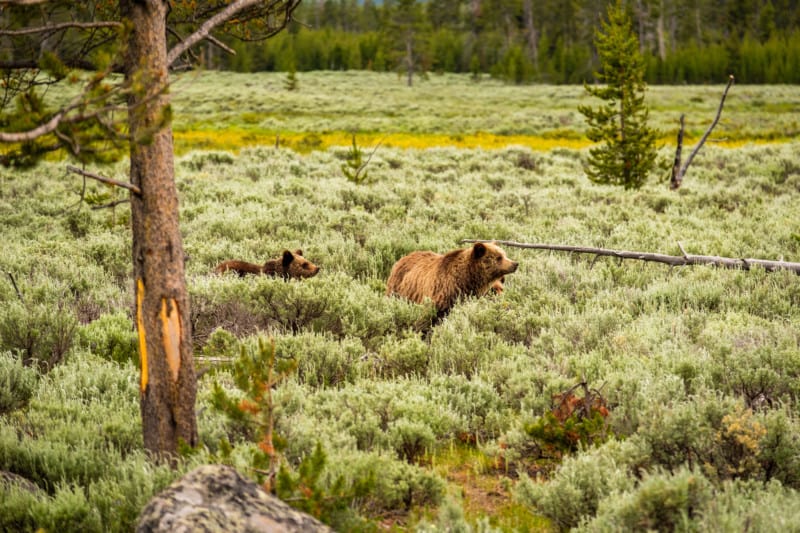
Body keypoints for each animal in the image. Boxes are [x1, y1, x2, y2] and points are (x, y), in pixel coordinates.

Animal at [386, 242, 520, 316]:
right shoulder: (443, 292)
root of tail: (401, 259)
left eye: (504, 254)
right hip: (398, 289)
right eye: (499, 257)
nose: (515, 263)